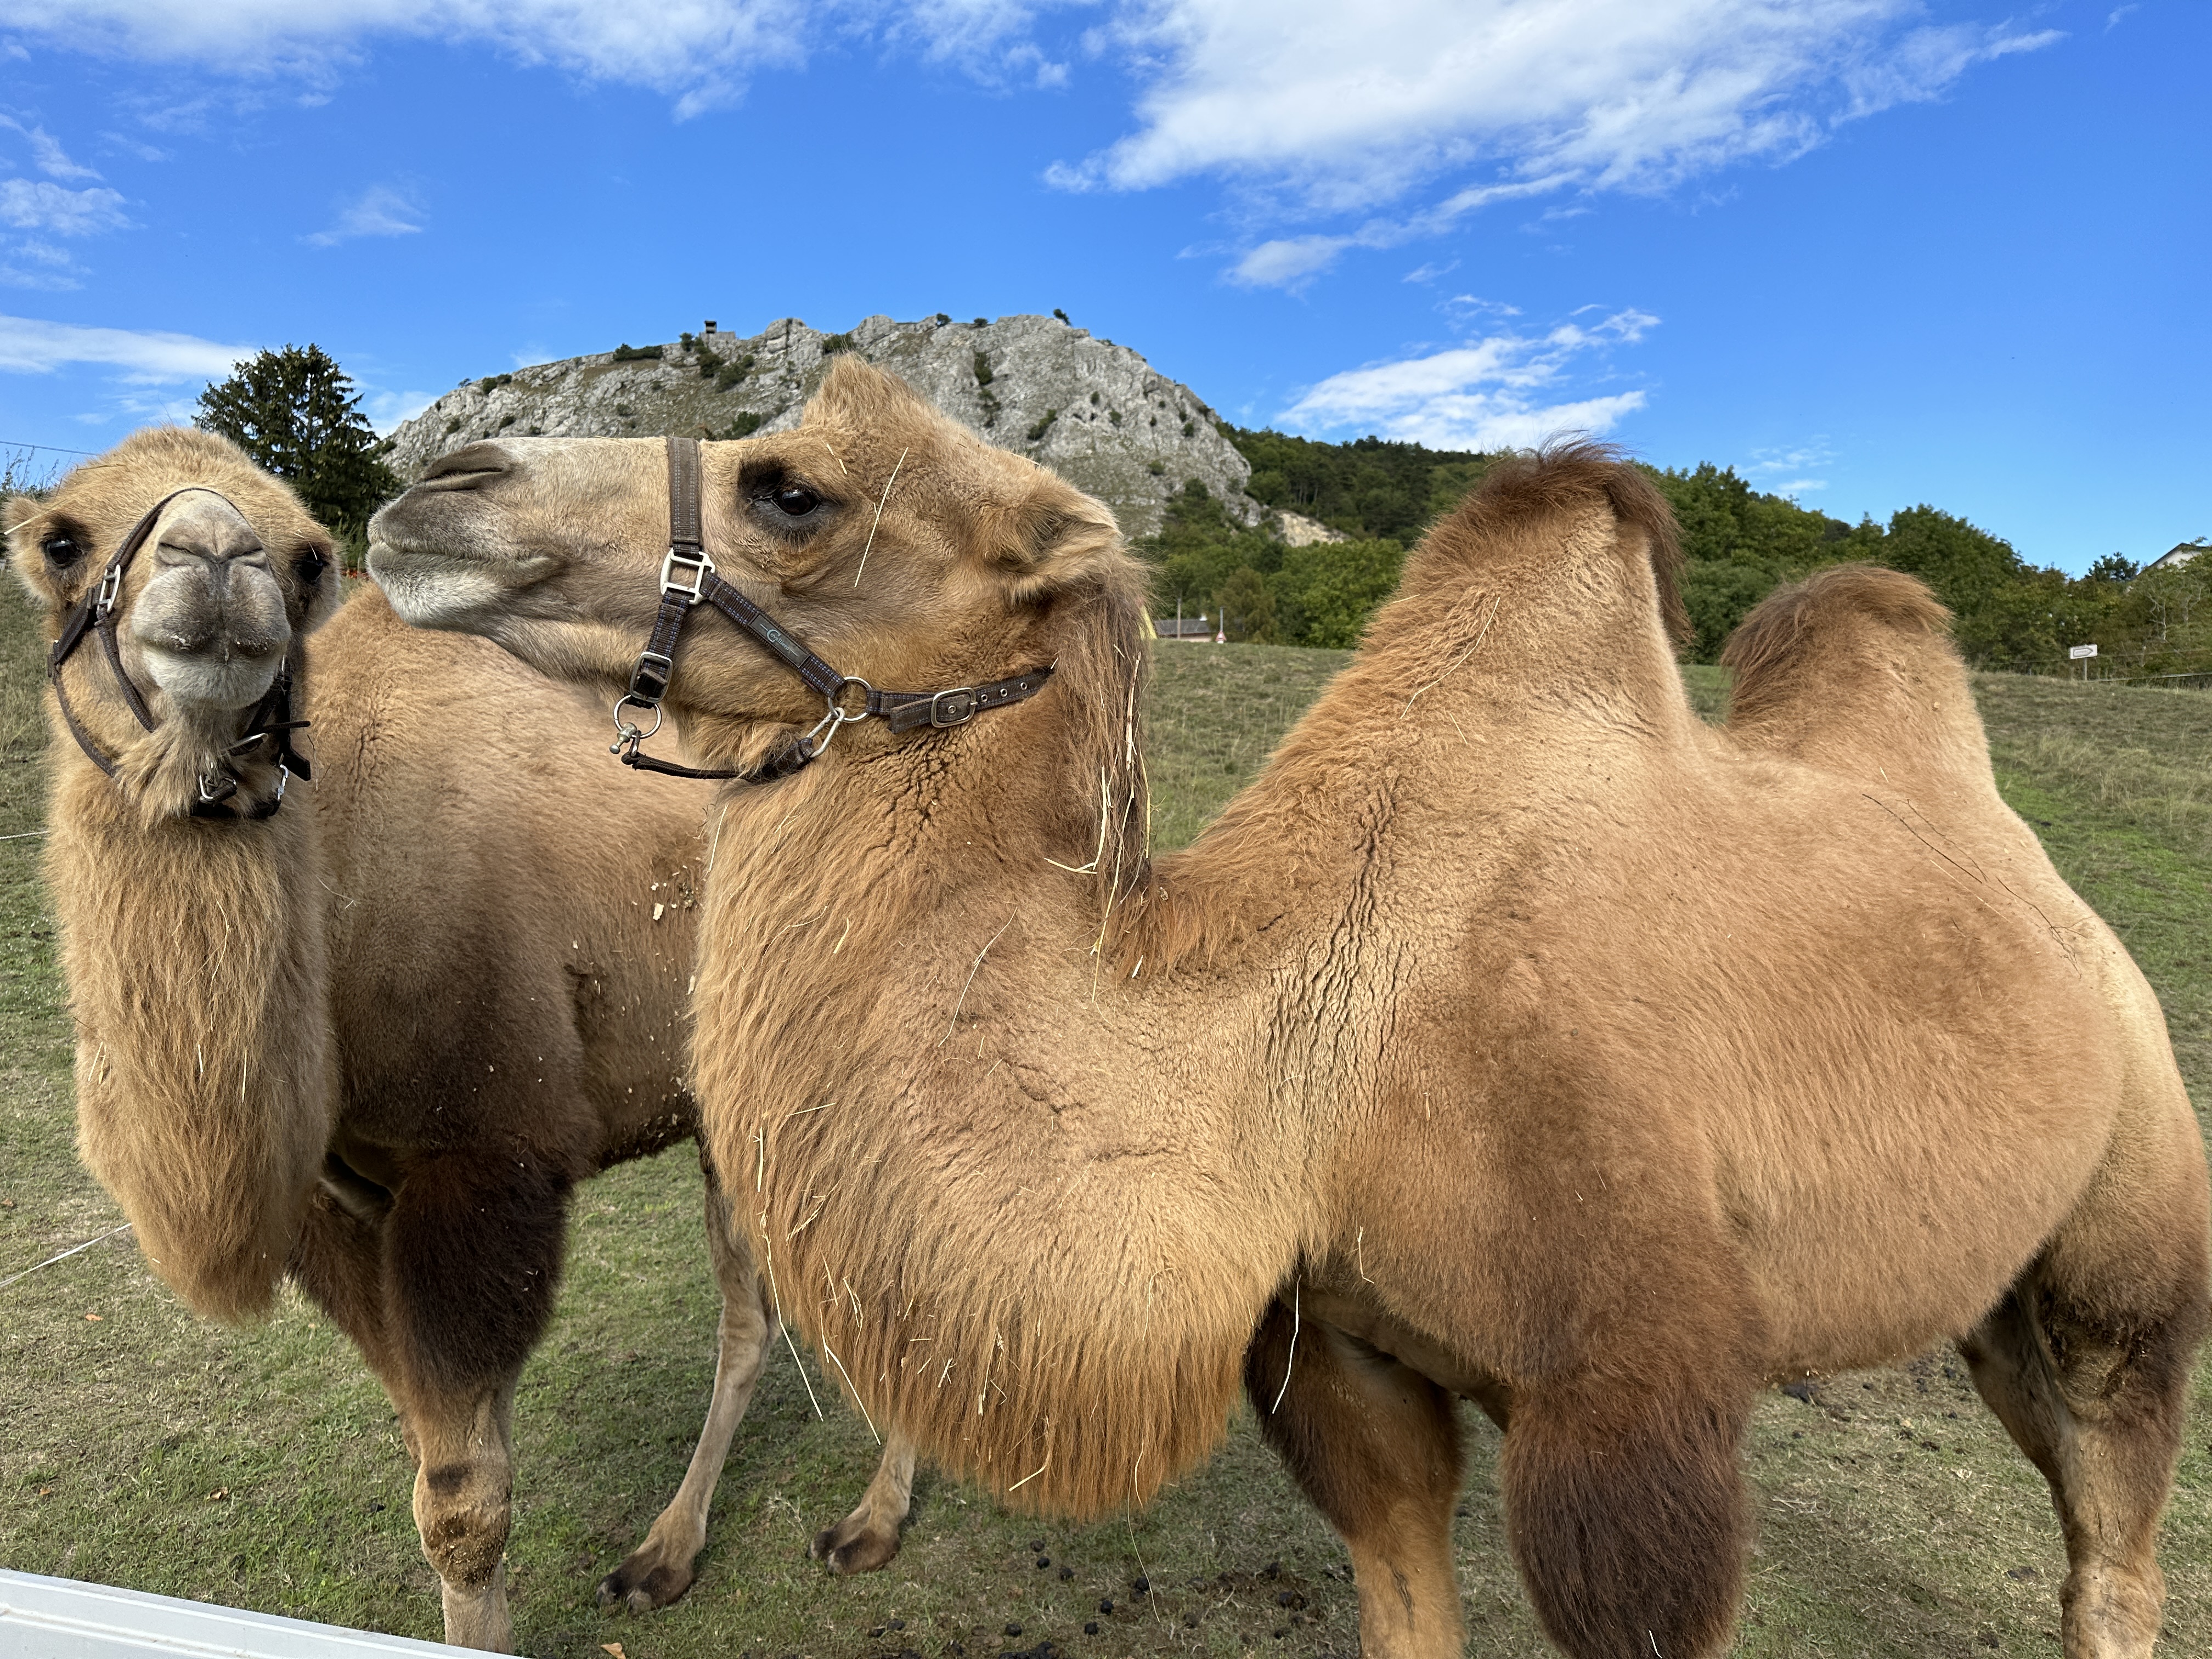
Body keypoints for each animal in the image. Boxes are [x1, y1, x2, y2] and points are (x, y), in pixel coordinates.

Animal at [4, 427, 917, 1653]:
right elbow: (432, 1454)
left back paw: (868, 1522)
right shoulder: (334, 1205)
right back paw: (668, 1553)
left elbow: (464, 1504)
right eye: (59, 542)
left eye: (310, 558)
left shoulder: (483, 1162)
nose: (215, 562)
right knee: (756, 1304)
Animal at [364, 359, 2210, 1659]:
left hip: (2131, 1236)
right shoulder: (1350, 1366)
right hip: (1993, 1294)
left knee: (2116, 1541)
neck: (1294, 1052)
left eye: (794, 490)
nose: (423, 492)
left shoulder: (1633, 1429)